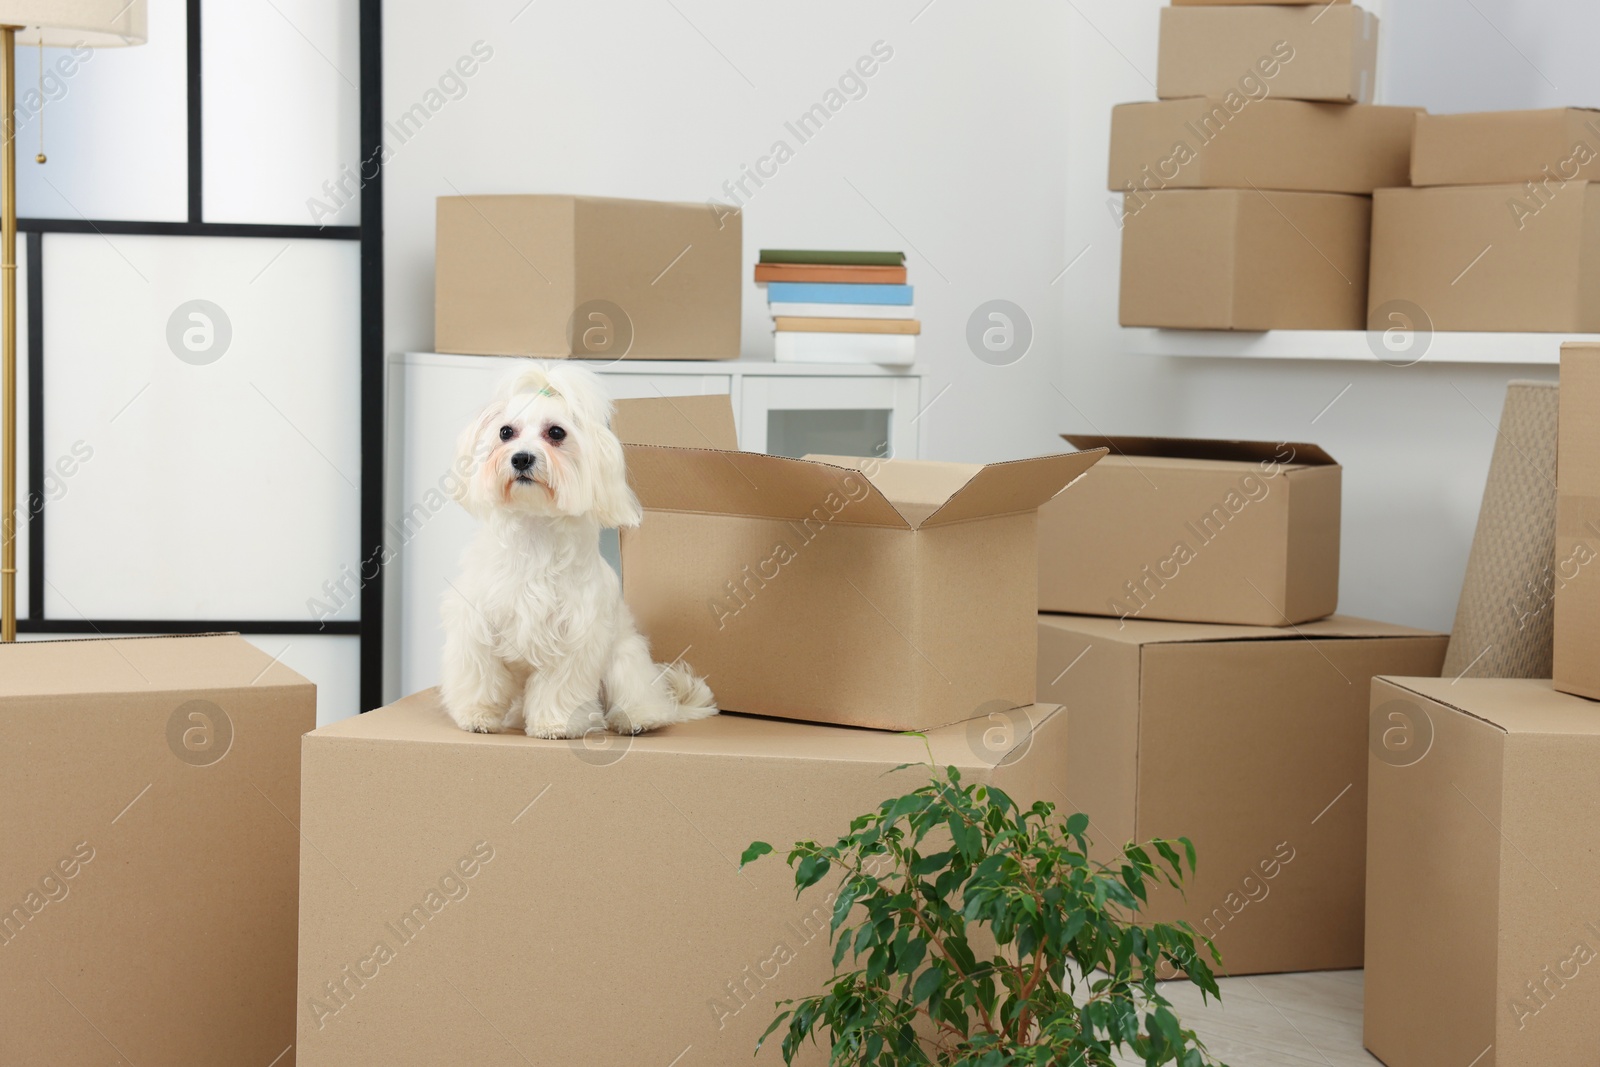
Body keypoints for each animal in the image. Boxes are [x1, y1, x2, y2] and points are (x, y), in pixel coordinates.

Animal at [435, 363, 716, 739]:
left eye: (556, 432)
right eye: (506, 432)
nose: (521, 458)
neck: (535, 532)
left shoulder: (574, 638)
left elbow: (558, 687)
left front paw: (554, 723)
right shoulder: (476, 625)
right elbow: (481, 677)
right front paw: (477, 716)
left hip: (625, 658)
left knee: (635, 695)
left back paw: (637, 718)